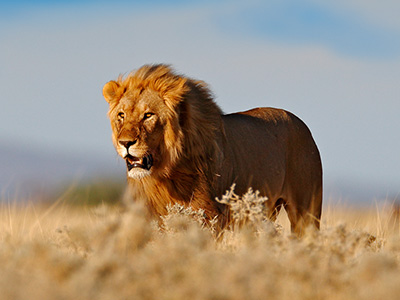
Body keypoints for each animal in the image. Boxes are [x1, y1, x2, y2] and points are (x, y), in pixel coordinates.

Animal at [102, 64, 322, 236]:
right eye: (121, 115)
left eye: (148, 115)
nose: (126, 143)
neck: (165, 173)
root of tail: (301, 124)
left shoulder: (210, 216)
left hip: (306, 211)